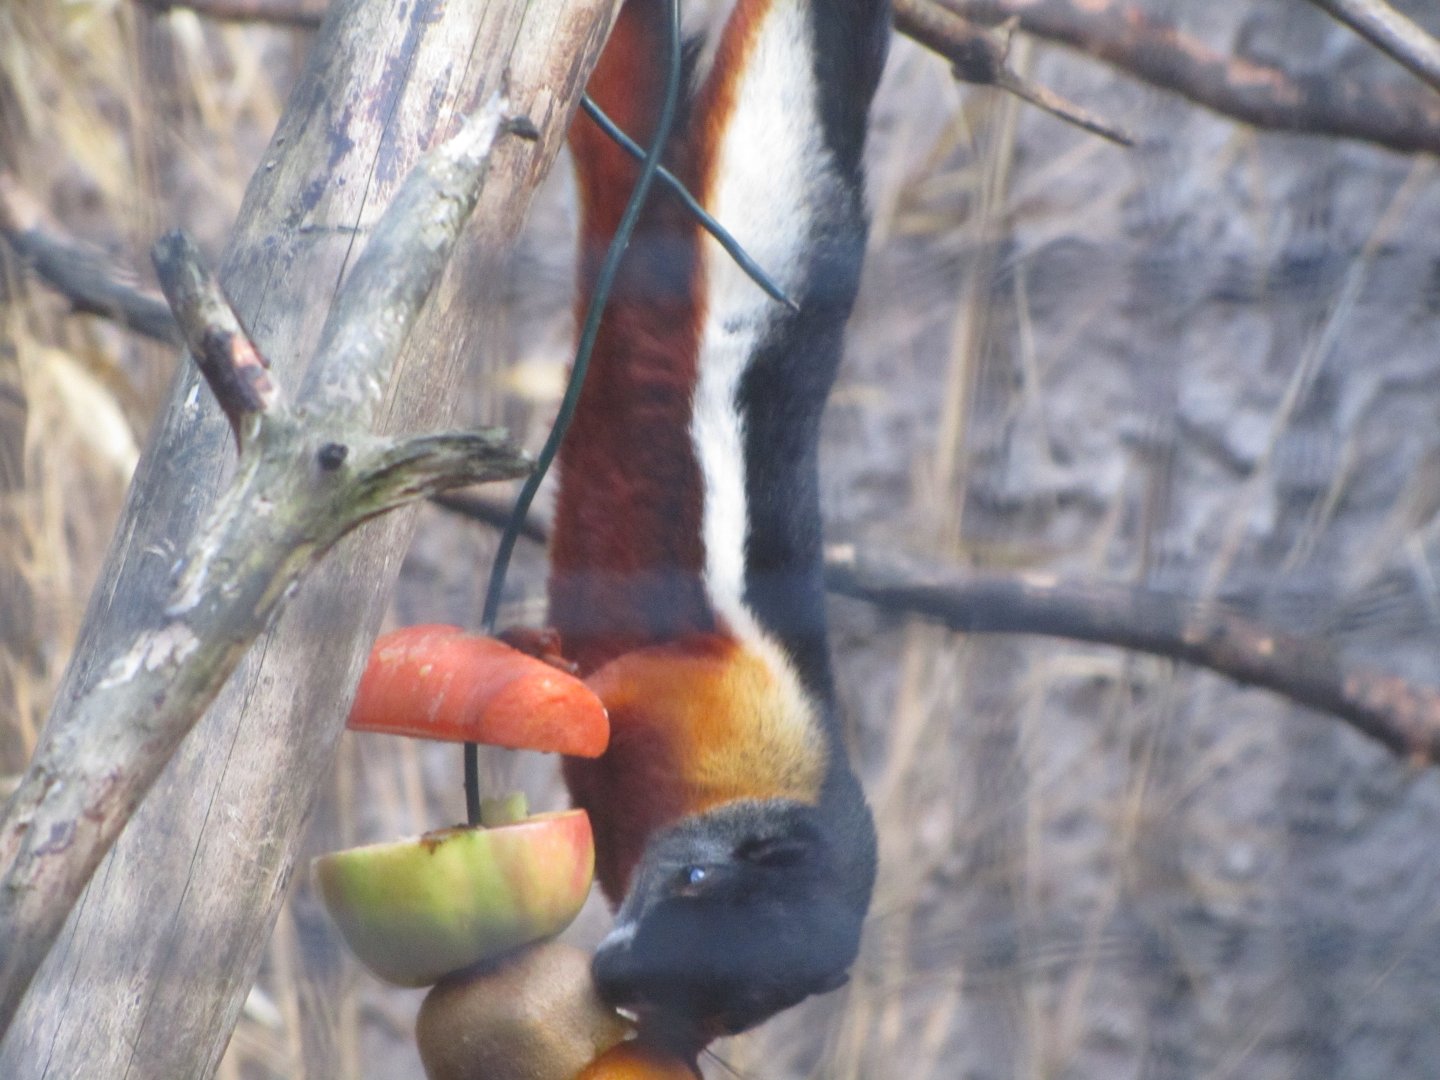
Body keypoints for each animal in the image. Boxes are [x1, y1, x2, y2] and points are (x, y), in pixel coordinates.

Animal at [550, 0, 891, 1056]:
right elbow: (604, 693)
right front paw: (547, 669)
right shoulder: (694, 686)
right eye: (696, 880)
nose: (613, 973)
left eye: (735, 1006)